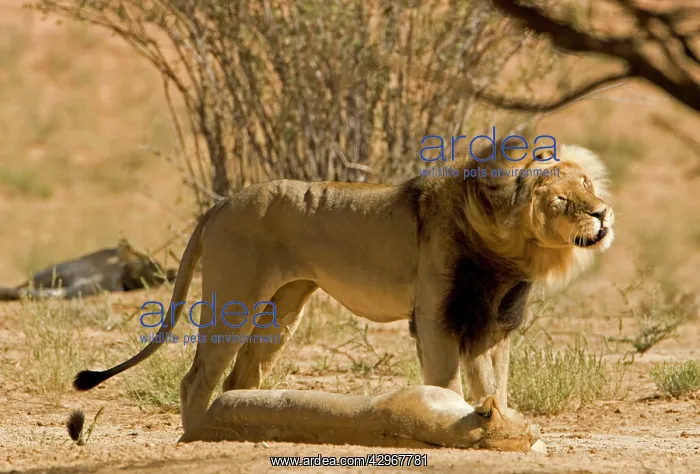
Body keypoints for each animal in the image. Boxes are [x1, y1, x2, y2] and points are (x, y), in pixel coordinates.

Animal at [72, 137, 614, 434]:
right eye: (562, 199)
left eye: (588, 184)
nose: (603, 213)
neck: (509, 246)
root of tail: (221, 203)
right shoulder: (436, 318)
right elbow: (446, 383)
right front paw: (453, 425)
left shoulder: (492, 323)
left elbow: (493, 385)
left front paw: (499, 426)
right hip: (236, 298)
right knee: (197, 378)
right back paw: (201, 435)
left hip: (282, 309)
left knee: (237, 378)